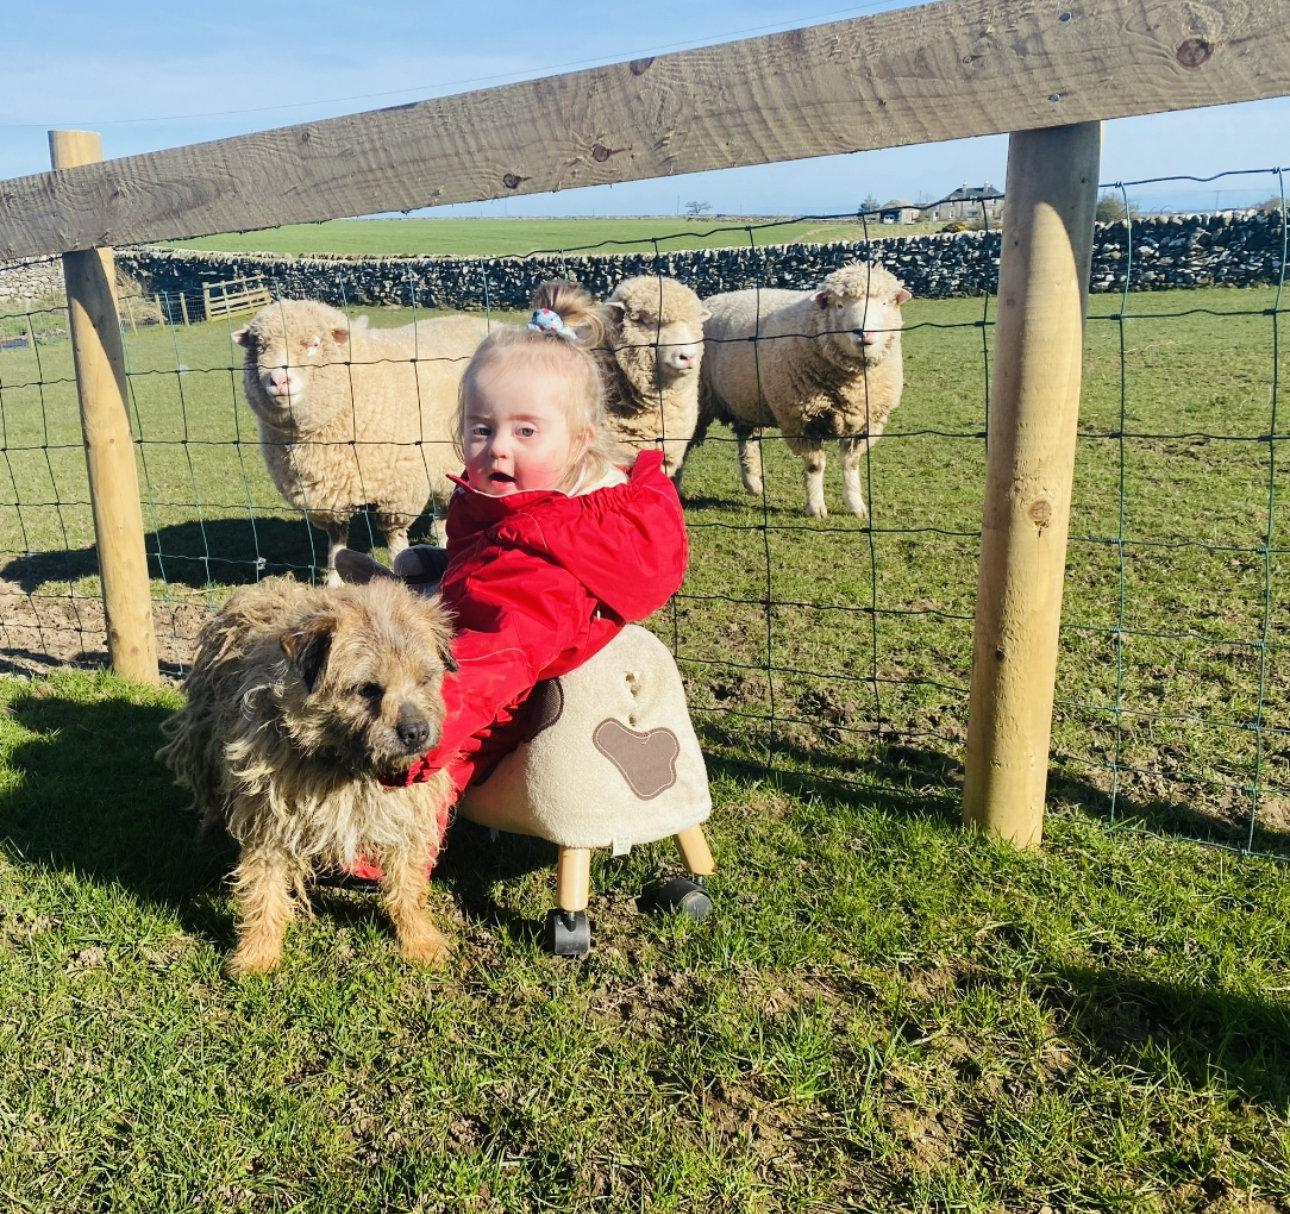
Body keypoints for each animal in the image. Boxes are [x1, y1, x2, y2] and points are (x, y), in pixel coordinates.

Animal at [158, 577, 459, 975]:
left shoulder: (404, 816)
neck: (342, 762)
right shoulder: (269, 822)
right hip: (203, 744)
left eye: (425, 679)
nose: (417, 732)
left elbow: (407, 883)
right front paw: (257, 952)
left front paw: (419, 938)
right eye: (367, 689)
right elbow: (264, 890)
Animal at [233, 299, 487, 583]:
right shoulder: (328, 497)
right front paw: (334, 582)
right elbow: (336, 541)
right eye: (260, 347)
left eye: (314, 344)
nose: (278, 381)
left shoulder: (398, 490)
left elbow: (395, 539)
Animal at [691, 260, 913, 516]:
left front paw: (855, 505)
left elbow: (851, 463)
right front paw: (816, 508)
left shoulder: (865, 422)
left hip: (747, 401)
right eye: (839, 305)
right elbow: (815, 465)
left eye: (884, 303)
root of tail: (708, 302)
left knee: (746, 443)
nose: (864, 333)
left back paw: (753, 484)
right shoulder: (799, 420)